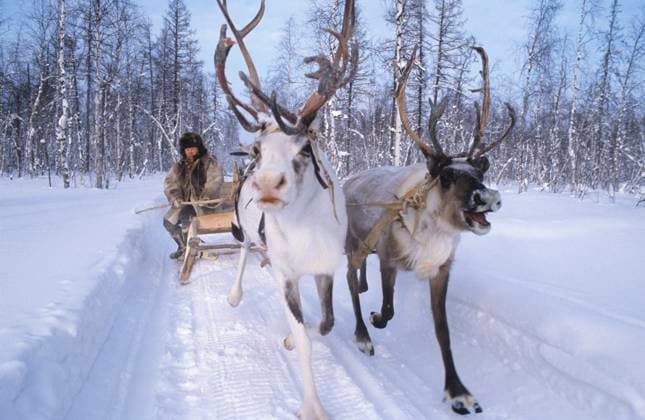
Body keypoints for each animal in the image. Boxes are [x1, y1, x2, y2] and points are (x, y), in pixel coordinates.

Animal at [214, 1, 357, 418]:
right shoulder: (287, 272)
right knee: (245, 249)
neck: (304, 233)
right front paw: (313, 406)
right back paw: (235, 294)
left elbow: (325, 323)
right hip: (246, 231)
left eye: (305, 148)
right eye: (258, 149)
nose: (265, 183)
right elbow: (304, 333)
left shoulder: (326, 268)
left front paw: (300, 334)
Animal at [343, 46, 515, 416]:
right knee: (349, 279)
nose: (487, 197)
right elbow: (389, 309)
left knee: (357, 279)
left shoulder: (441, 270)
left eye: (480, 172)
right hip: (353, 243)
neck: (433, 236)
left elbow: (443, 331)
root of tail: (348, 180)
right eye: (447, 176)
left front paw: (458, 392)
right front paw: (375, 318)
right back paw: (363, 335)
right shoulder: (390, 259)